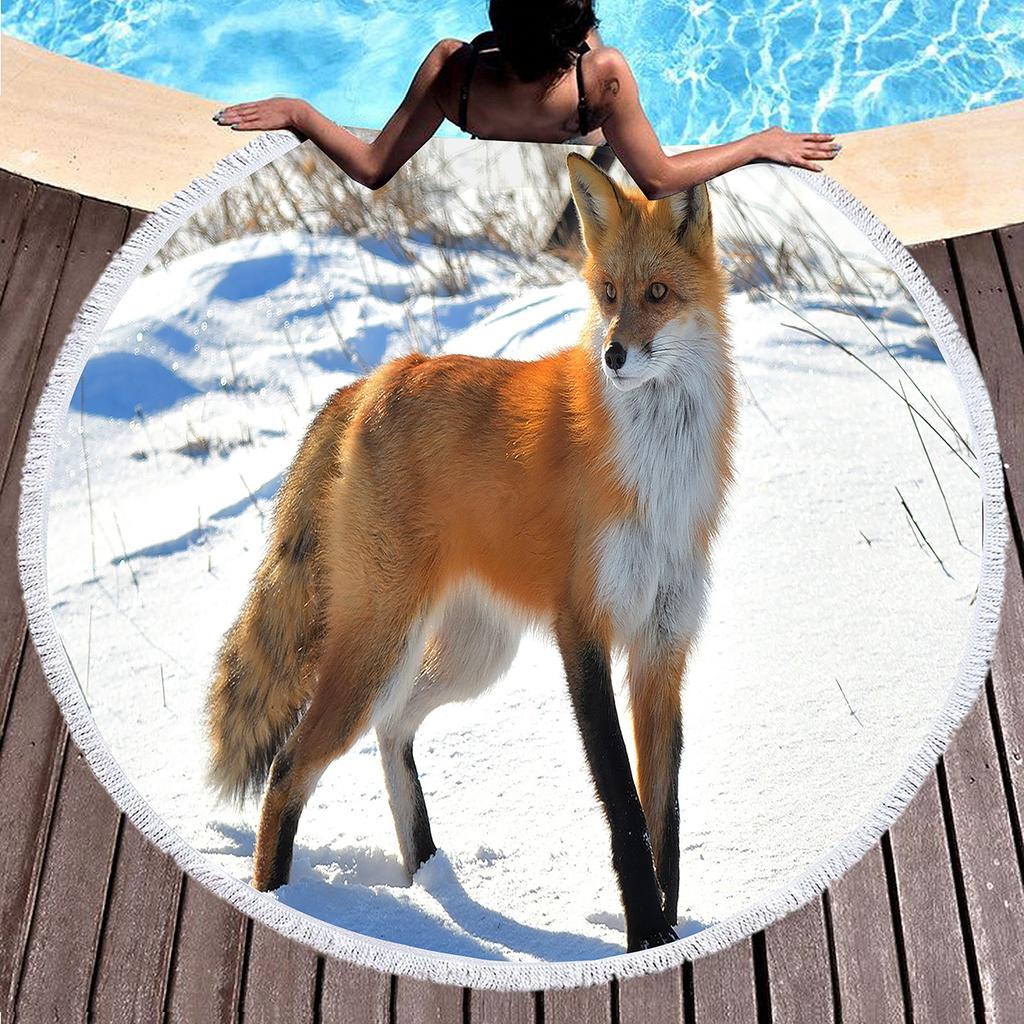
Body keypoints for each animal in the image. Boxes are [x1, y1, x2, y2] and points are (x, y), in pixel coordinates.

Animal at [206, 152, 737, 952]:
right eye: (609, 294)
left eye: (658, 294)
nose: (613, 355)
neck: (658, 478)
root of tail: (375, 377)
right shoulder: (582, 628)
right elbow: (625, 810)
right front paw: (647, 936)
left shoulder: (662, 644)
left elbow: (665, 819)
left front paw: (669, 935)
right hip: (382, 644)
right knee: (290, 767)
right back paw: (283, 902)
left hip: (472, 654)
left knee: (392, 729)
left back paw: (427, 875)